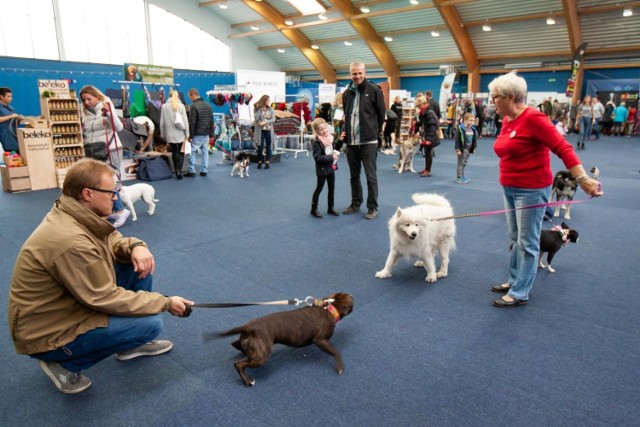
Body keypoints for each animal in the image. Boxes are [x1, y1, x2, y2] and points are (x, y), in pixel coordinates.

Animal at [218, 294, 352, 388]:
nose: (352, 295)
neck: (329, 308)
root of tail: (250, 327)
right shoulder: (320, 340)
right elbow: (336, 352)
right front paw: (340, 366)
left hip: (252, 346)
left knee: (237, 345)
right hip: (262, 357)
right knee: (239, 364)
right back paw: (248, 381)